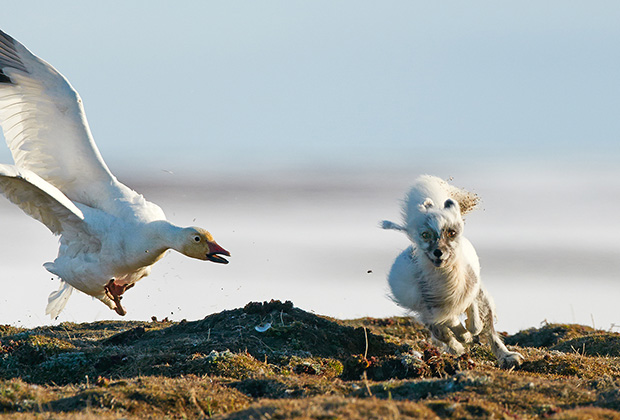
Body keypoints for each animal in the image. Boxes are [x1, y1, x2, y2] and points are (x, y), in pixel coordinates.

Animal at [382, 174, 524, 368]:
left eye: (451, 233)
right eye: (425, 235)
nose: (438, 252)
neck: (448, 277)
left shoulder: (472, 291)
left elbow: (476, 320)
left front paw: (471, 330)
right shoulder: (433, 309)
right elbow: (451, 323)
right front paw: (463, 338)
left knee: (490, 331)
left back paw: (507, 356)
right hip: (428, 314)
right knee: (441, 333)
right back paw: (458, 347)